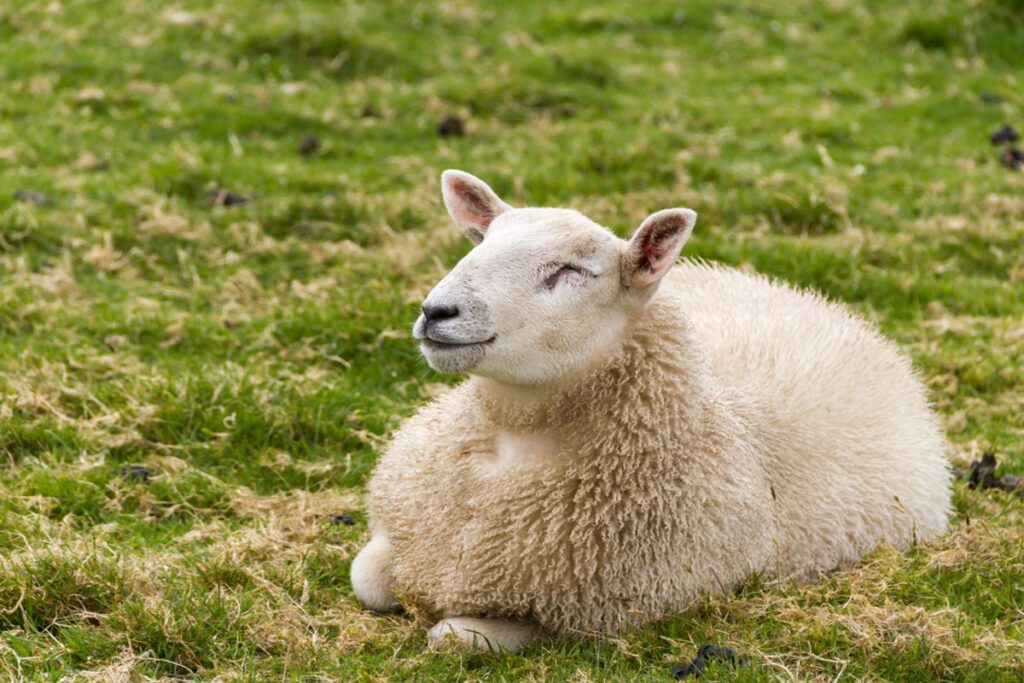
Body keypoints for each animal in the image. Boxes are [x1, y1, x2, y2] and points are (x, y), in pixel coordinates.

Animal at [352, 171, 950, 651]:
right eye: (479, 245)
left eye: (570, 270)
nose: (437, 311)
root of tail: (820, 304)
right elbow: (366, 577)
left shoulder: (597, 611)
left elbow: (456, 636)